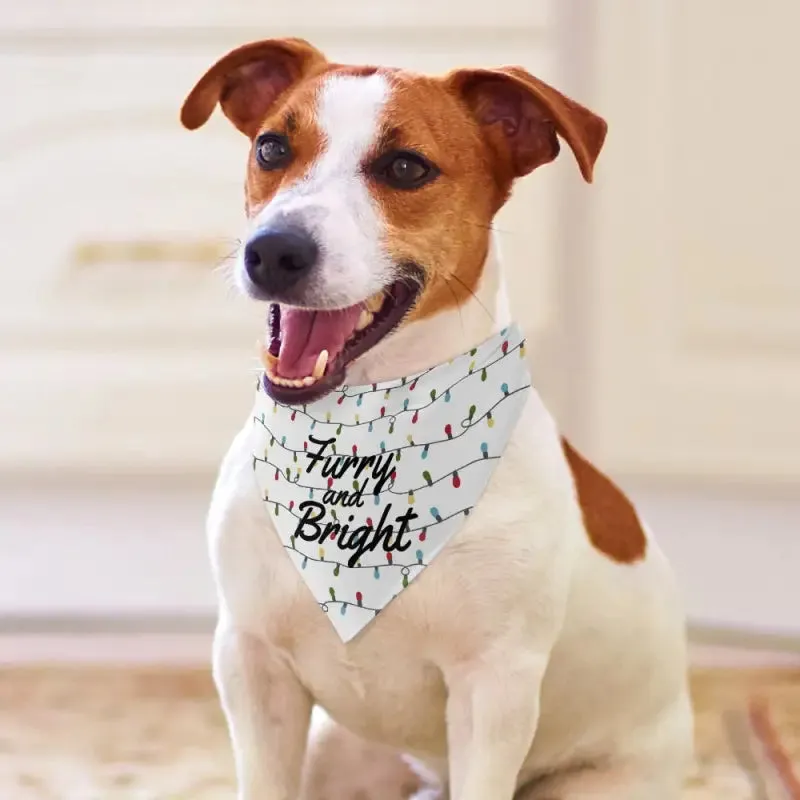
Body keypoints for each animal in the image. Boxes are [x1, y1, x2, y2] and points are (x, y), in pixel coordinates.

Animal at [181, 37, 692, 800]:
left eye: (405, 167)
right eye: (272, 147)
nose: (273, 250)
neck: (364, 436)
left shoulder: (494, 691)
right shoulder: (251, 663)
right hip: (338, 753)